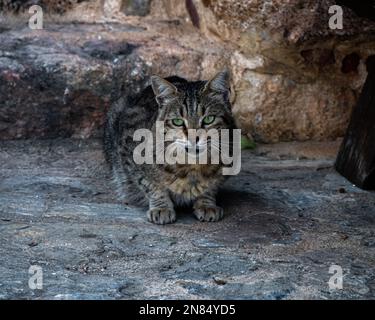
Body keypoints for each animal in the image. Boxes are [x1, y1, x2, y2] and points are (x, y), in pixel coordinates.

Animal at [104, 70, 236, 225]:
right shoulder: (129, 153)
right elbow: (151, 184)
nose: (193, 139)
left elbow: (211, 186)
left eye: (209, 119)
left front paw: (206, 204)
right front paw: (161, 208)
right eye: (177, 121)